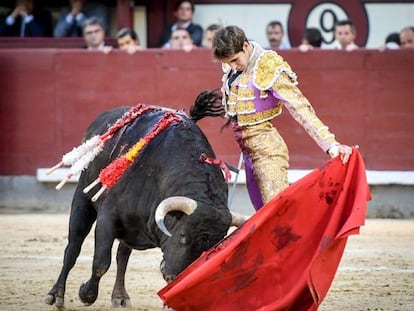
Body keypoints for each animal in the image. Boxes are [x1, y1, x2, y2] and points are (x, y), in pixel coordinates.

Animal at [46, 105, 246, 310]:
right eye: (183, 236)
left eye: (214, 247)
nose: (176, 277)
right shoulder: (107, 217)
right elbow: (101, 262)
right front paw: (86, 295)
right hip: (82, 198)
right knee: (73, 247)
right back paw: (56, 295)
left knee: (122, 255)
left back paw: (120, 296)